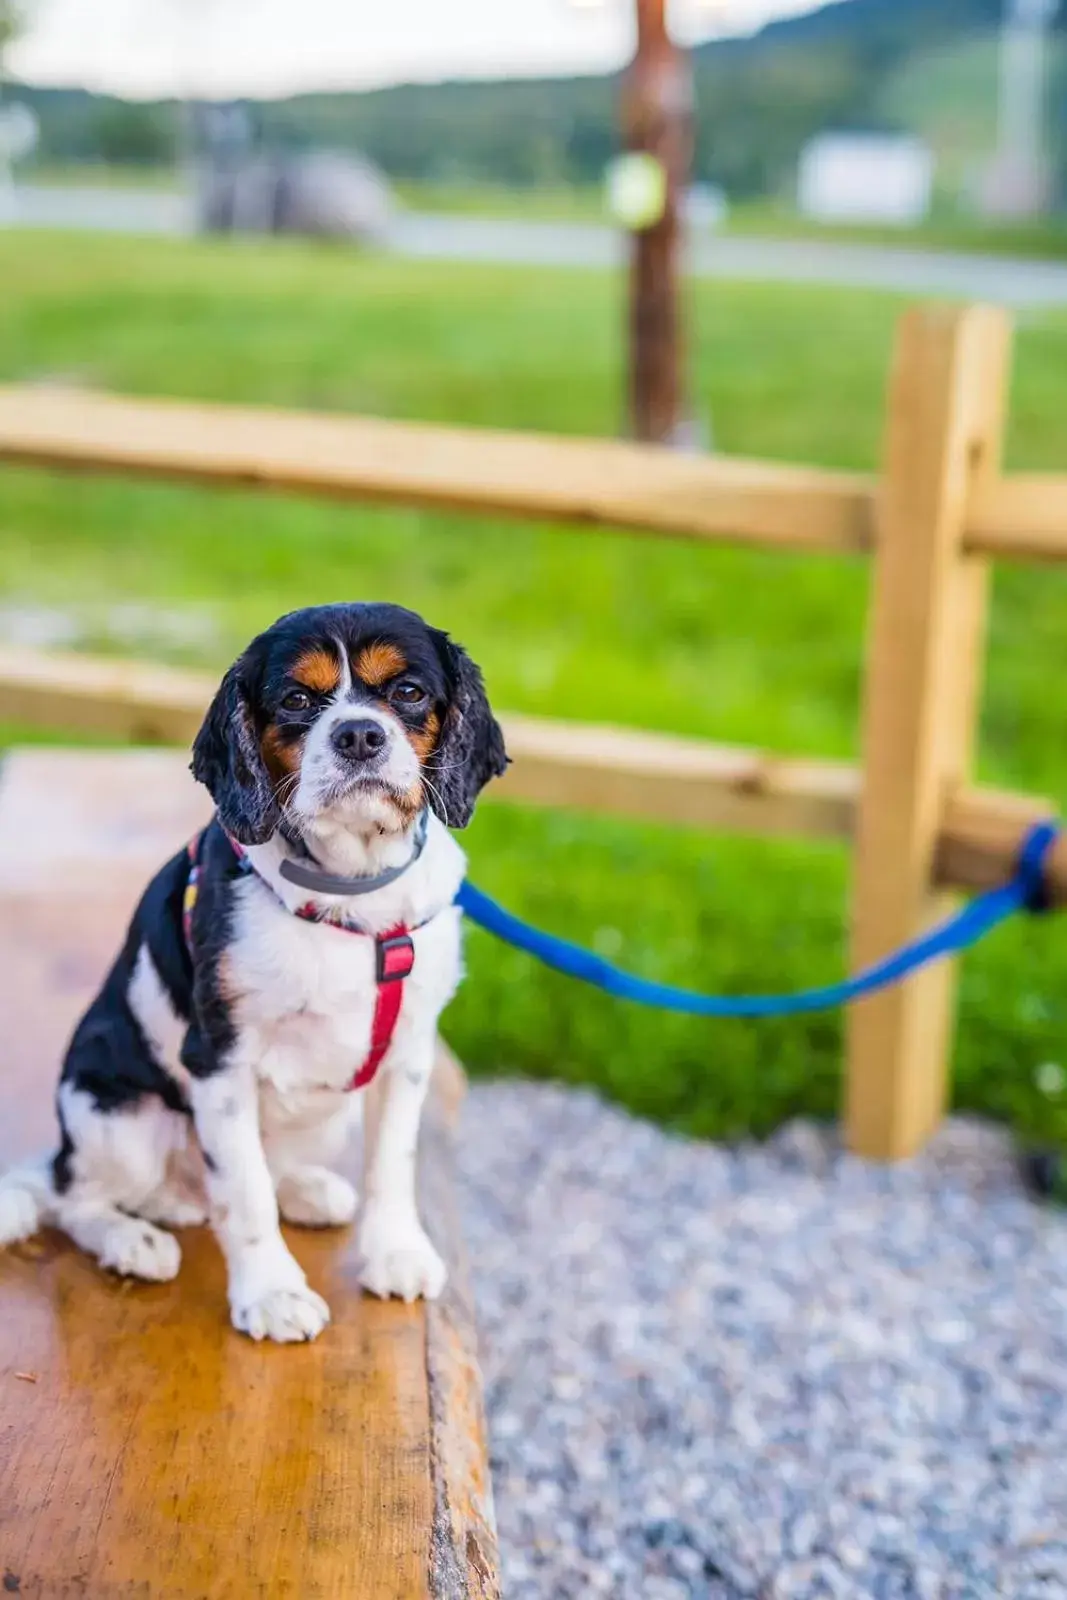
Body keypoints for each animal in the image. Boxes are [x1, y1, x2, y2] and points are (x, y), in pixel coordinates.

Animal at [0, 604, 508, 1344]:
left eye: (409, 692)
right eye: (296, 700)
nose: (359, 734)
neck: (349, 893)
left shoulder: (407, 1056)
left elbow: (393, 1164)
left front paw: (394, 1253)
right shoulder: (220, 1060)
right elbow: (243, 1194)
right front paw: (272, 1292)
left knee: (266, 1168)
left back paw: (305, 1190)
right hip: (116, 1117)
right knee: (77, 1195)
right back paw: (132, 1240)